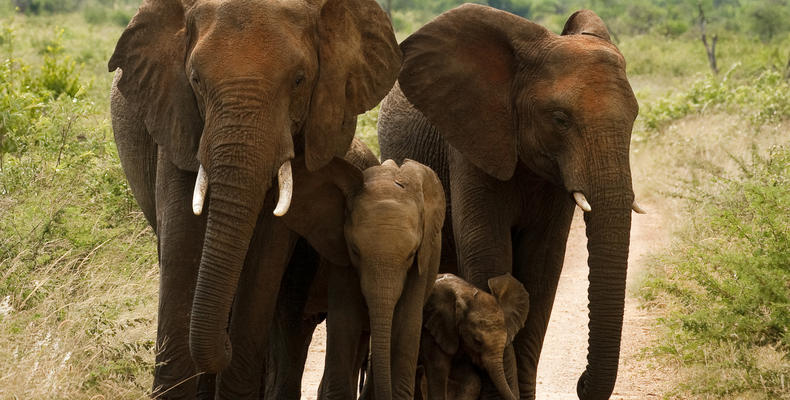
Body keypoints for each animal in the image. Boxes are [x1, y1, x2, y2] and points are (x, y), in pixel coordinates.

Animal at [106, 0, 402, 396]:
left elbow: (266, 252)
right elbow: (183, 241)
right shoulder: (176, 117)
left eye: (299, 80)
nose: (224, 342)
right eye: (195, 80)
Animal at [282, 158, 446, 398]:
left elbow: (405, 323)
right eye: (355, 251)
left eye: (411, 255)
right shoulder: (341, 256)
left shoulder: (424, 258)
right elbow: (345, 320)